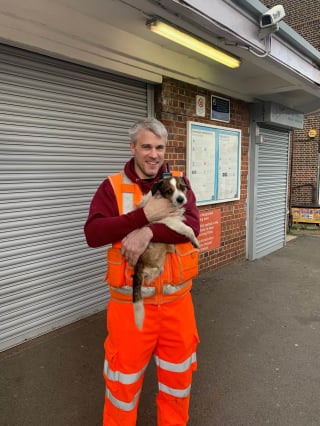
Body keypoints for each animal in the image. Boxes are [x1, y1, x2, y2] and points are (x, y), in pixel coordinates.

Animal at [131, 176, 199, 330]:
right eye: (169, 190)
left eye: (182, 187)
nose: (180, 199)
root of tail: (139, 265)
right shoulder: (169, 220)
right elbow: (189, 229)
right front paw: (195, 241)